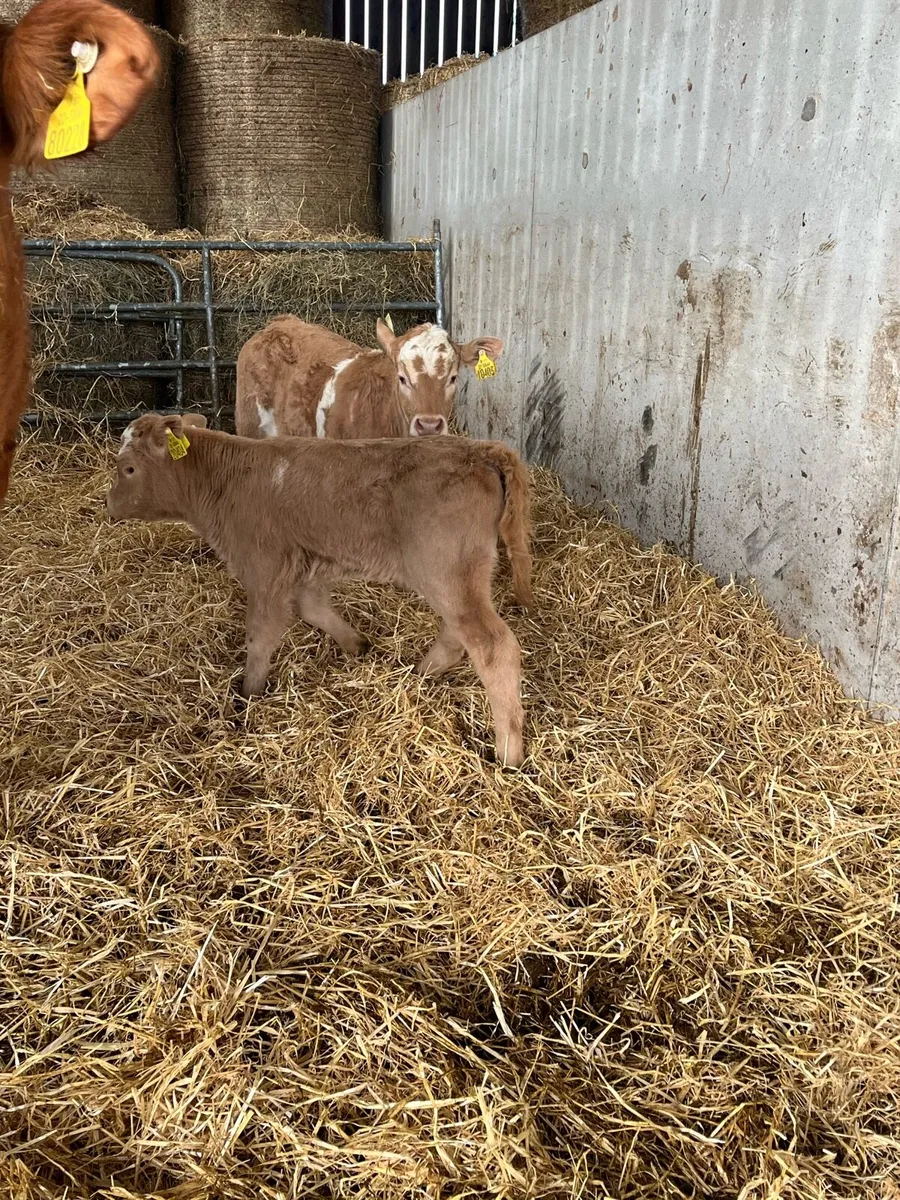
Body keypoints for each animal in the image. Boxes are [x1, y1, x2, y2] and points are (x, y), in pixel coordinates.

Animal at [106, 414, 534, 767]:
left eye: (128, 468)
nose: (109, 507)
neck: (227, 478)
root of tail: (480, 449)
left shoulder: (265, 569)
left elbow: (260, 637)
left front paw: (247, 698)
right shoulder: (308, 566)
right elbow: (313, 610)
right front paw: (357, 645)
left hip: (447, 571)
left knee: (492, 646)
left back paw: (508, 753)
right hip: (460, 575)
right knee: (458, 634)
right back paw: (421, 672)